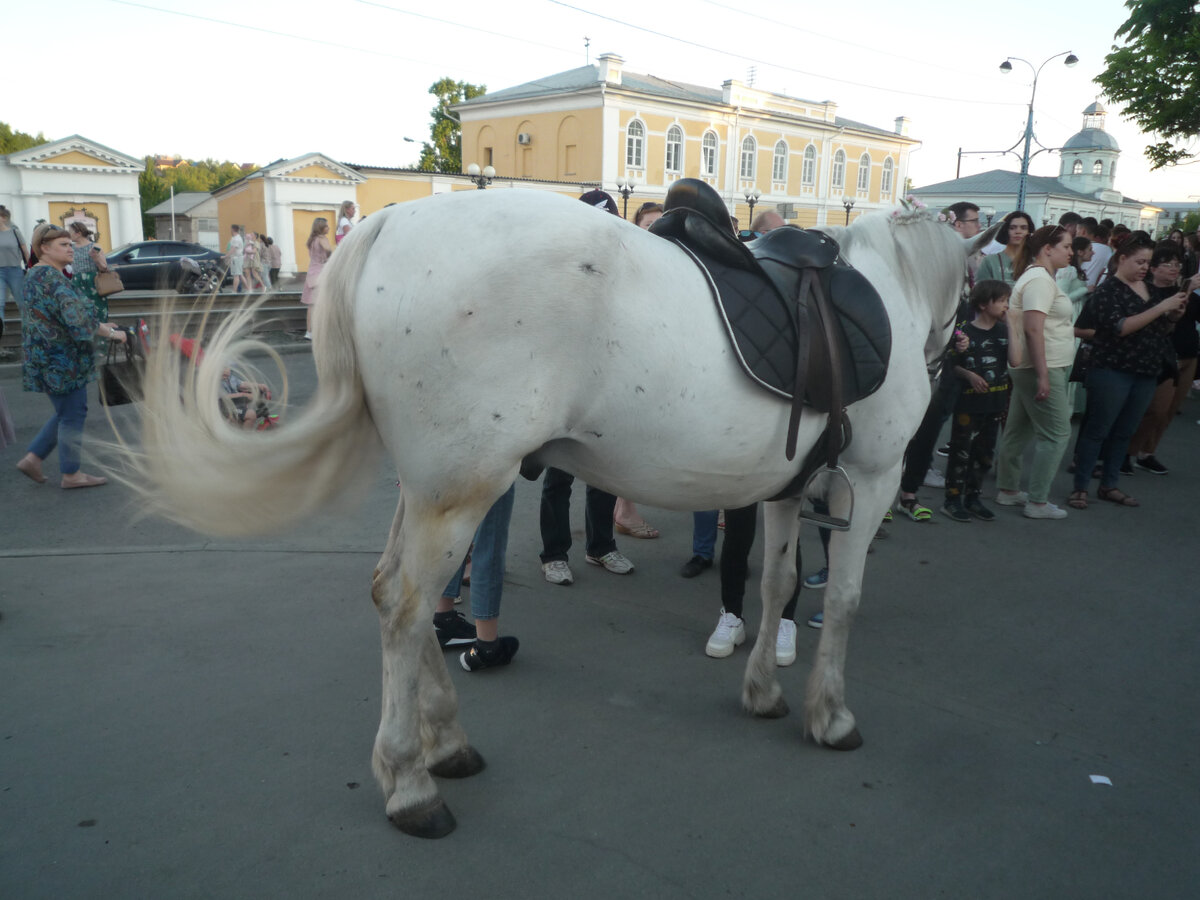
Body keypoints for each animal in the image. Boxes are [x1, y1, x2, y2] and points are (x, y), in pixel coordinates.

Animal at [126, 190, 993, 840]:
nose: (953, 360)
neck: (892, 287)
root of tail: (384, 225)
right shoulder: (868, 483)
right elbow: (841, 602)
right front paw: (831, 715)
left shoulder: (786, 491)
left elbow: (777, 587)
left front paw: (763, 693)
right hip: (466, 488)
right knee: (407, 608)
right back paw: (410, 784)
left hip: (432, 487)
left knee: (393, 593)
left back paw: (445, 745)